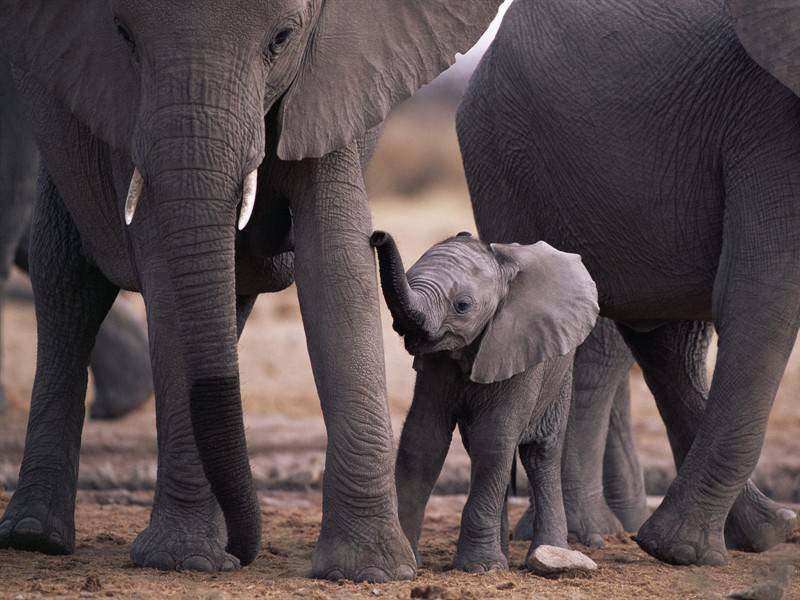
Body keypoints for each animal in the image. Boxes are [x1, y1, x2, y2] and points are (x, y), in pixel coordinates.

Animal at [376, 232, 600, 576]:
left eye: (463, 306)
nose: (377, 236)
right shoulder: (436, 362)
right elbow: (423, 441)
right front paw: (411, 562)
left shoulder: (520, 345)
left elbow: (493, 440)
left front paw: (479, 568)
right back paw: (503, 558)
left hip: (561, 374)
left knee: (539, 454)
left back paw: (547, 552)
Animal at [450, 0, 800, 564]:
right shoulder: (770, 120)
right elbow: (764, 298)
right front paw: (679, 554)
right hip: (506, 157)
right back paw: (609, 542)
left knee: (669, 340)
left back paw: (762, 531)